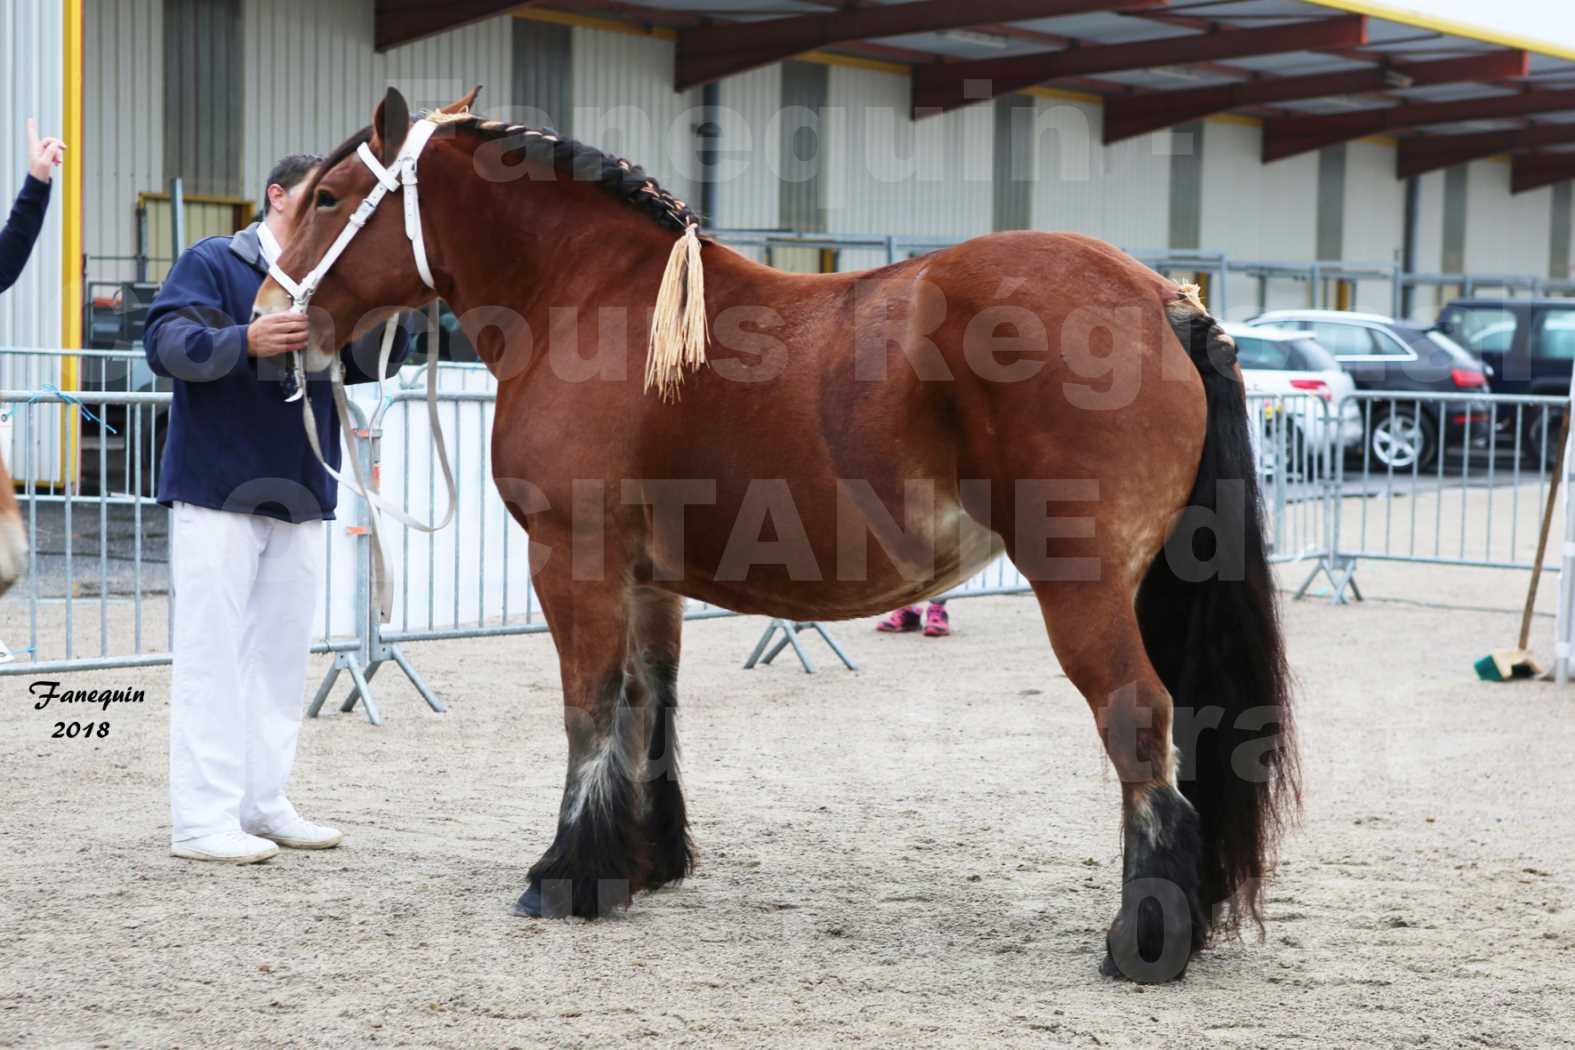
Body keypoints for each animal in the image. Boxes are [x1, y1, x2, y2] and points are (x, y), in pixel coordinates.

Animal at [255, 90, 1291, 988]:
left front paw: (566, 875)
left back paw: (1142, 941)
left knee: (1136, 718)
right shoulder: (648, 576)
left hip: (1082, 585)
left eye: (330, 198)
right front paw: (644, 862)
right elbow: (649, 702)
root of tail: (1163, 298)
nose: (271, 318)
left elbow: (589, 707)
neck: (589, 301)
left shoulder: (573, 558)